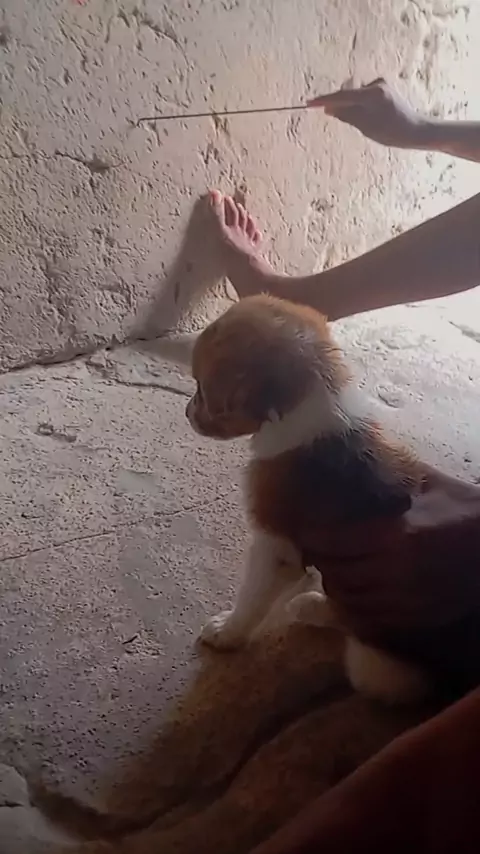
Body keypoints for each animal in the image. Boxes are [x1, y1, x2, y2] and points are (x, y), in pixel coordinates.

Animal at [186, 294, 431, 704]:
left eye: (202, 389)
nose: (187, 412)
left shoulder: (273, 546)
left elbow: (251, 599)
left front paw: (226, 633)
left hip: (375, 665)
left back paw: (311, 607)